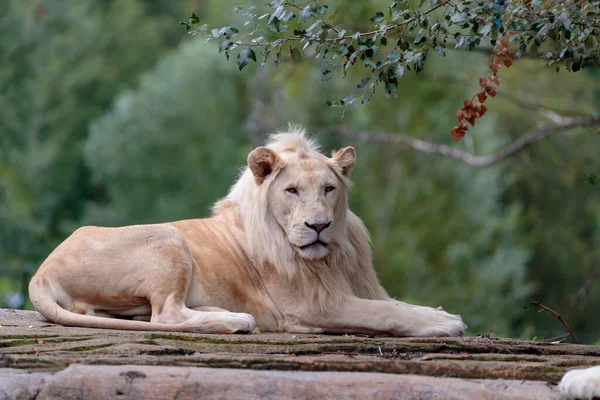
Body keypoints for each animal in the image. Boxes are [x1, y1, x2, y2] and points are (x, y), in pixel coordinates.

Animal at [29, 128, 468, 338]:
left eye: (329, 189)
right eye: (292, 191)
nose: (319, 226)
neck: (333, 254)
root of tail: (41, 271)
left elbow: (397, 303)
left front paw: (438, 313)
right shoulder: (312, 307)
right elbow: (384, 311)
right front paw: (445, 324)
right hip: (170, 239)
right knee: (165, 315)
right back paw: (236, 319)